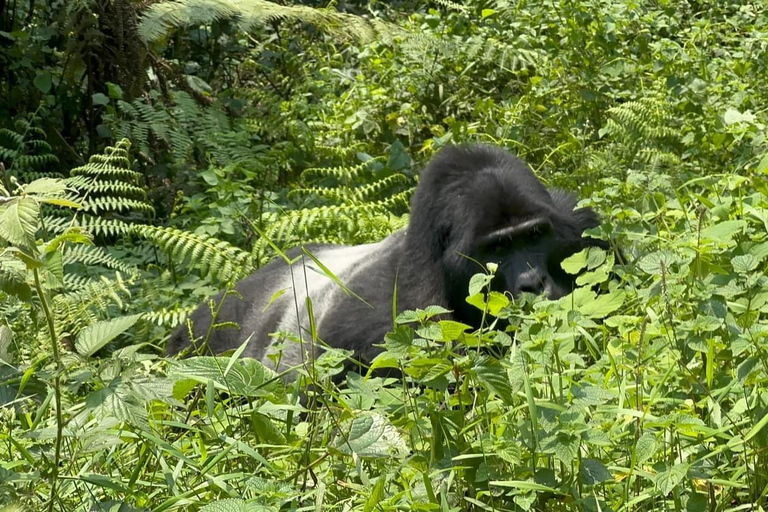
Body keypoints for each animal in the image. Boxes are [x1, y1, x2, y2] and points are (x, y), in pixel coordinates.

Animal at [166, 146, 608, 374]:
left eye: (535, 235)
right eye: (496, 250)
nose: (532, 283)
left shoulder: (583, 229)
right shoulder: (398, 322)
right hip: (205, 333)